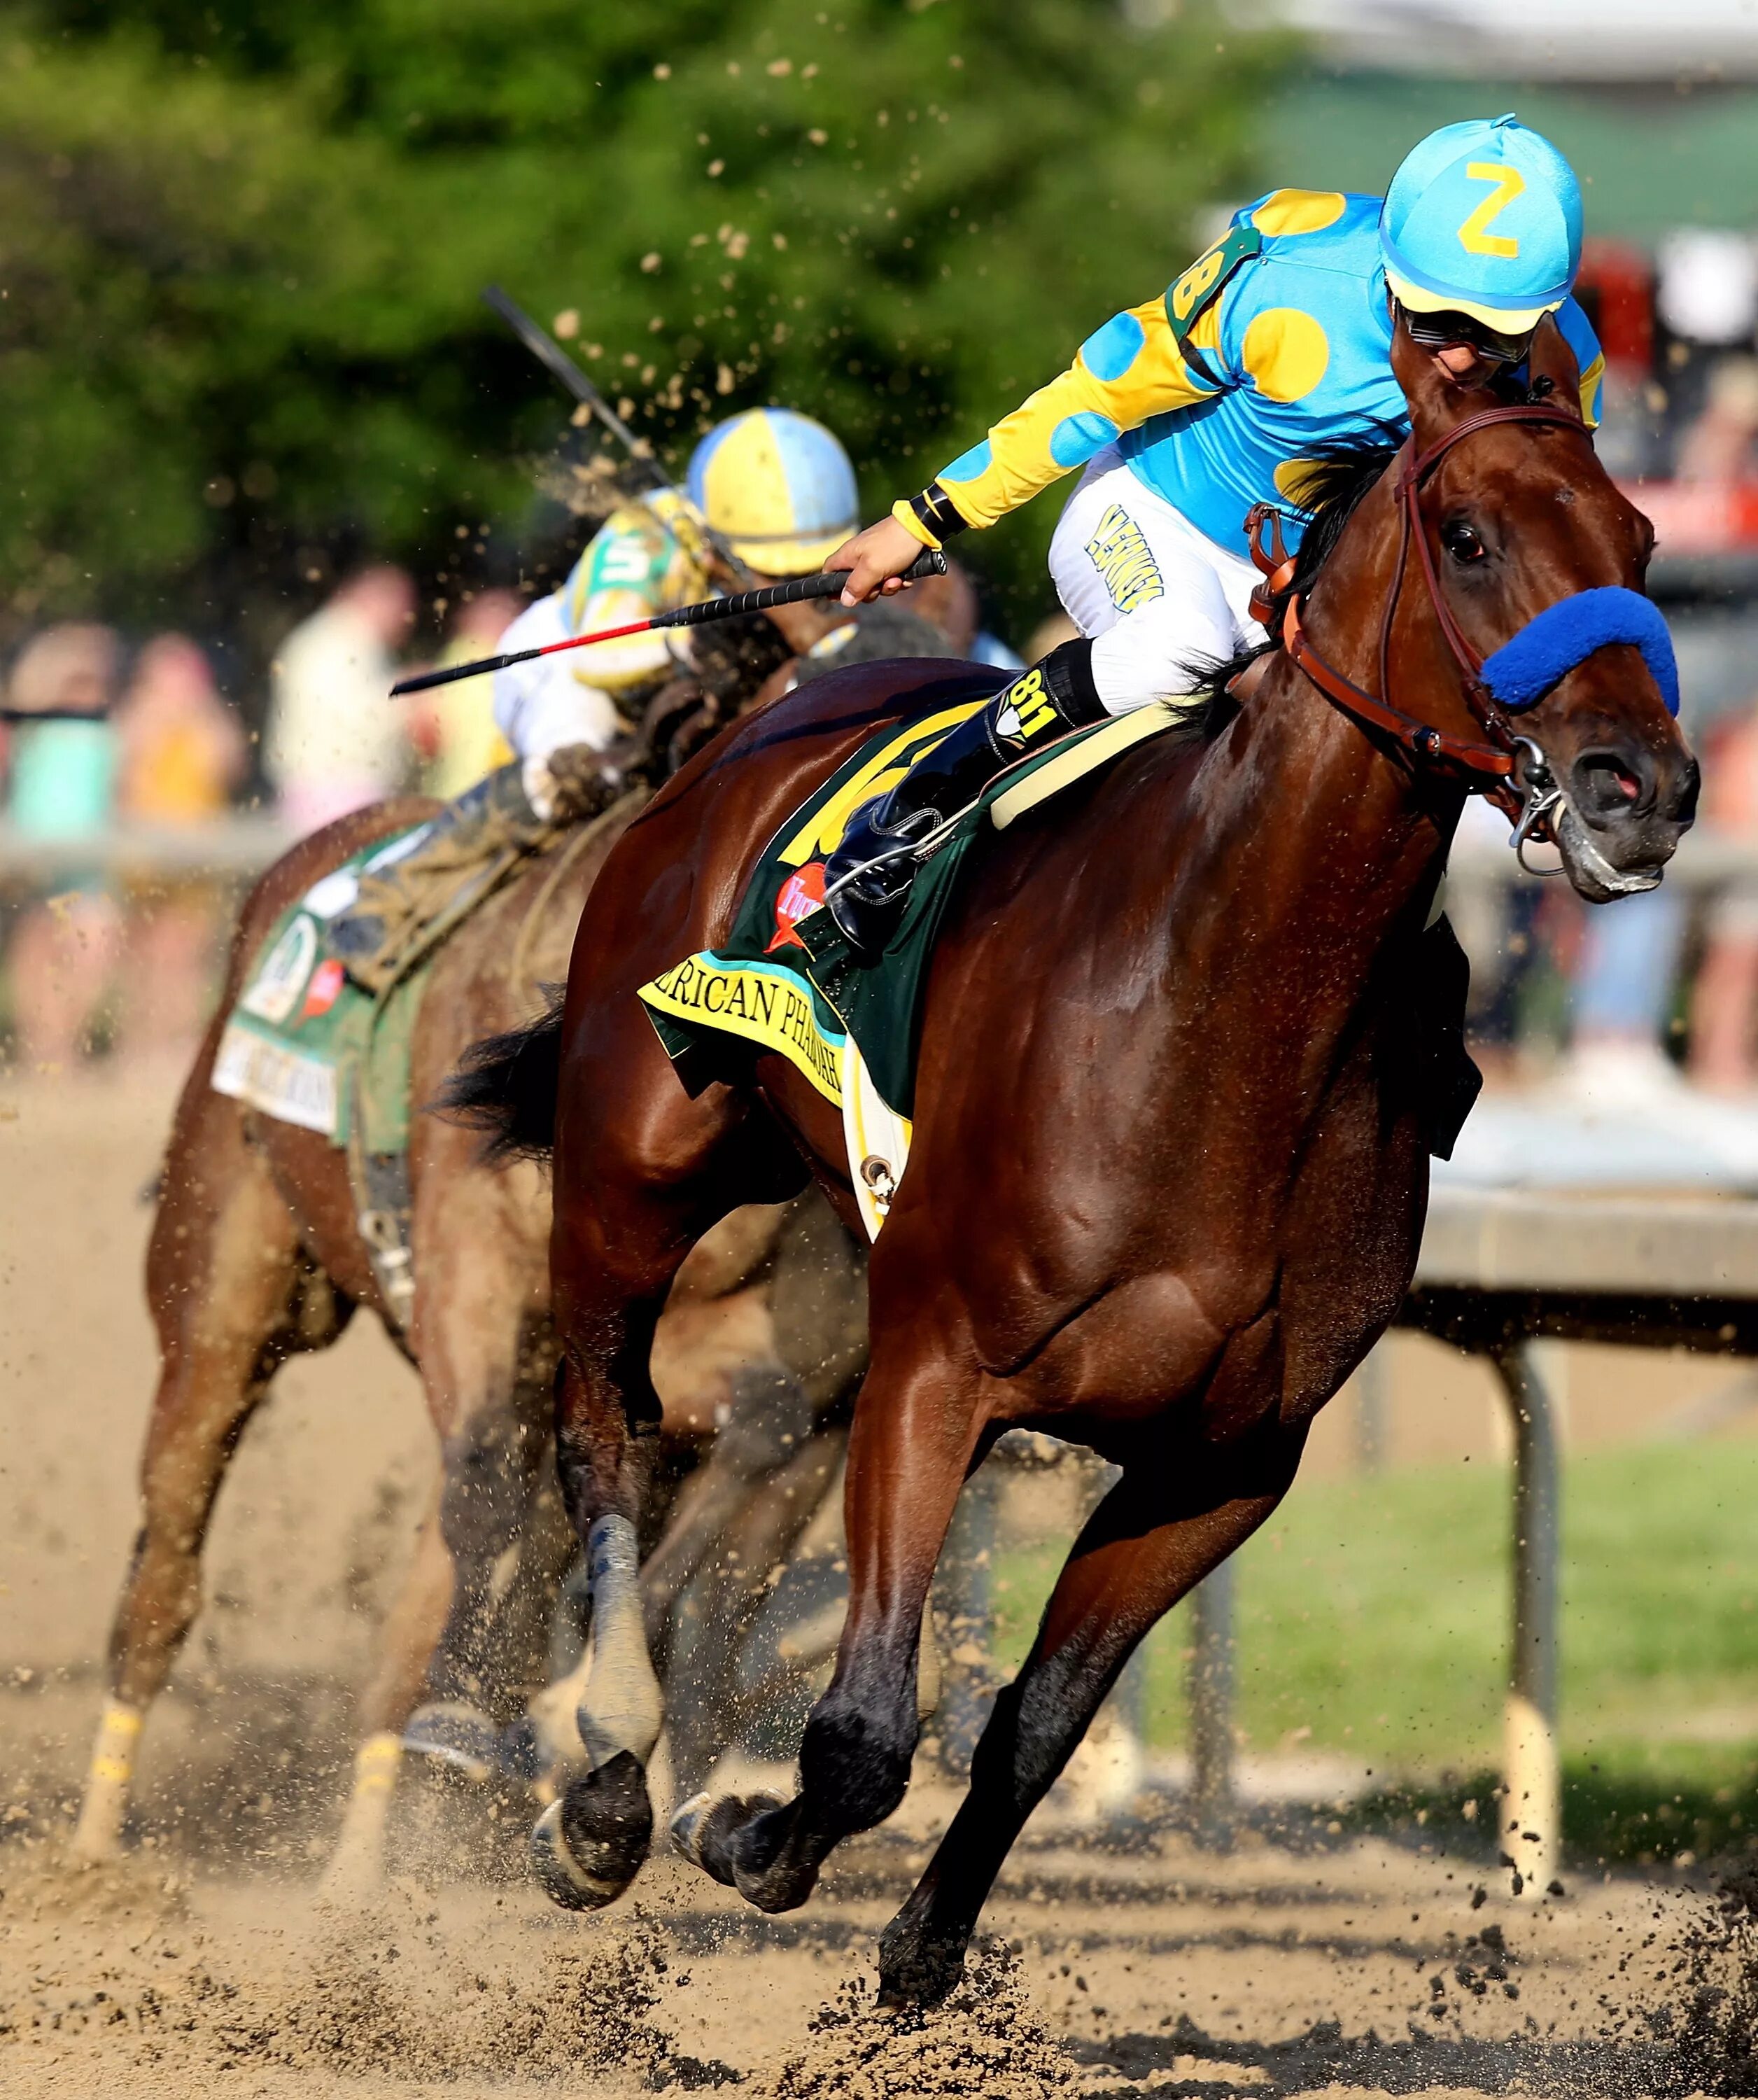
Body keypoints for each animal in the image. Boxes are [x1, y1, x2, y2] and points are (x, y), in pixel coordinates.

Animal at [472, 315, 1696, 1999]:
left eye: (1639, 542)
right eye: (1467, 536)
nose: (1643, 788)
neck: (1219, 1013)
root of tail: (761, 713)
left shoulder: (1220, 1463)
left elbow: (1034, 1723)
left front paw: (918, 1957)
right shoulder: (936, 1367)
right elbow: (864, 1732)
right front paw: (737, 1834)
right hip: (629, 1166)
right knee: (604, 1430)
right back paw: (598, 1783)